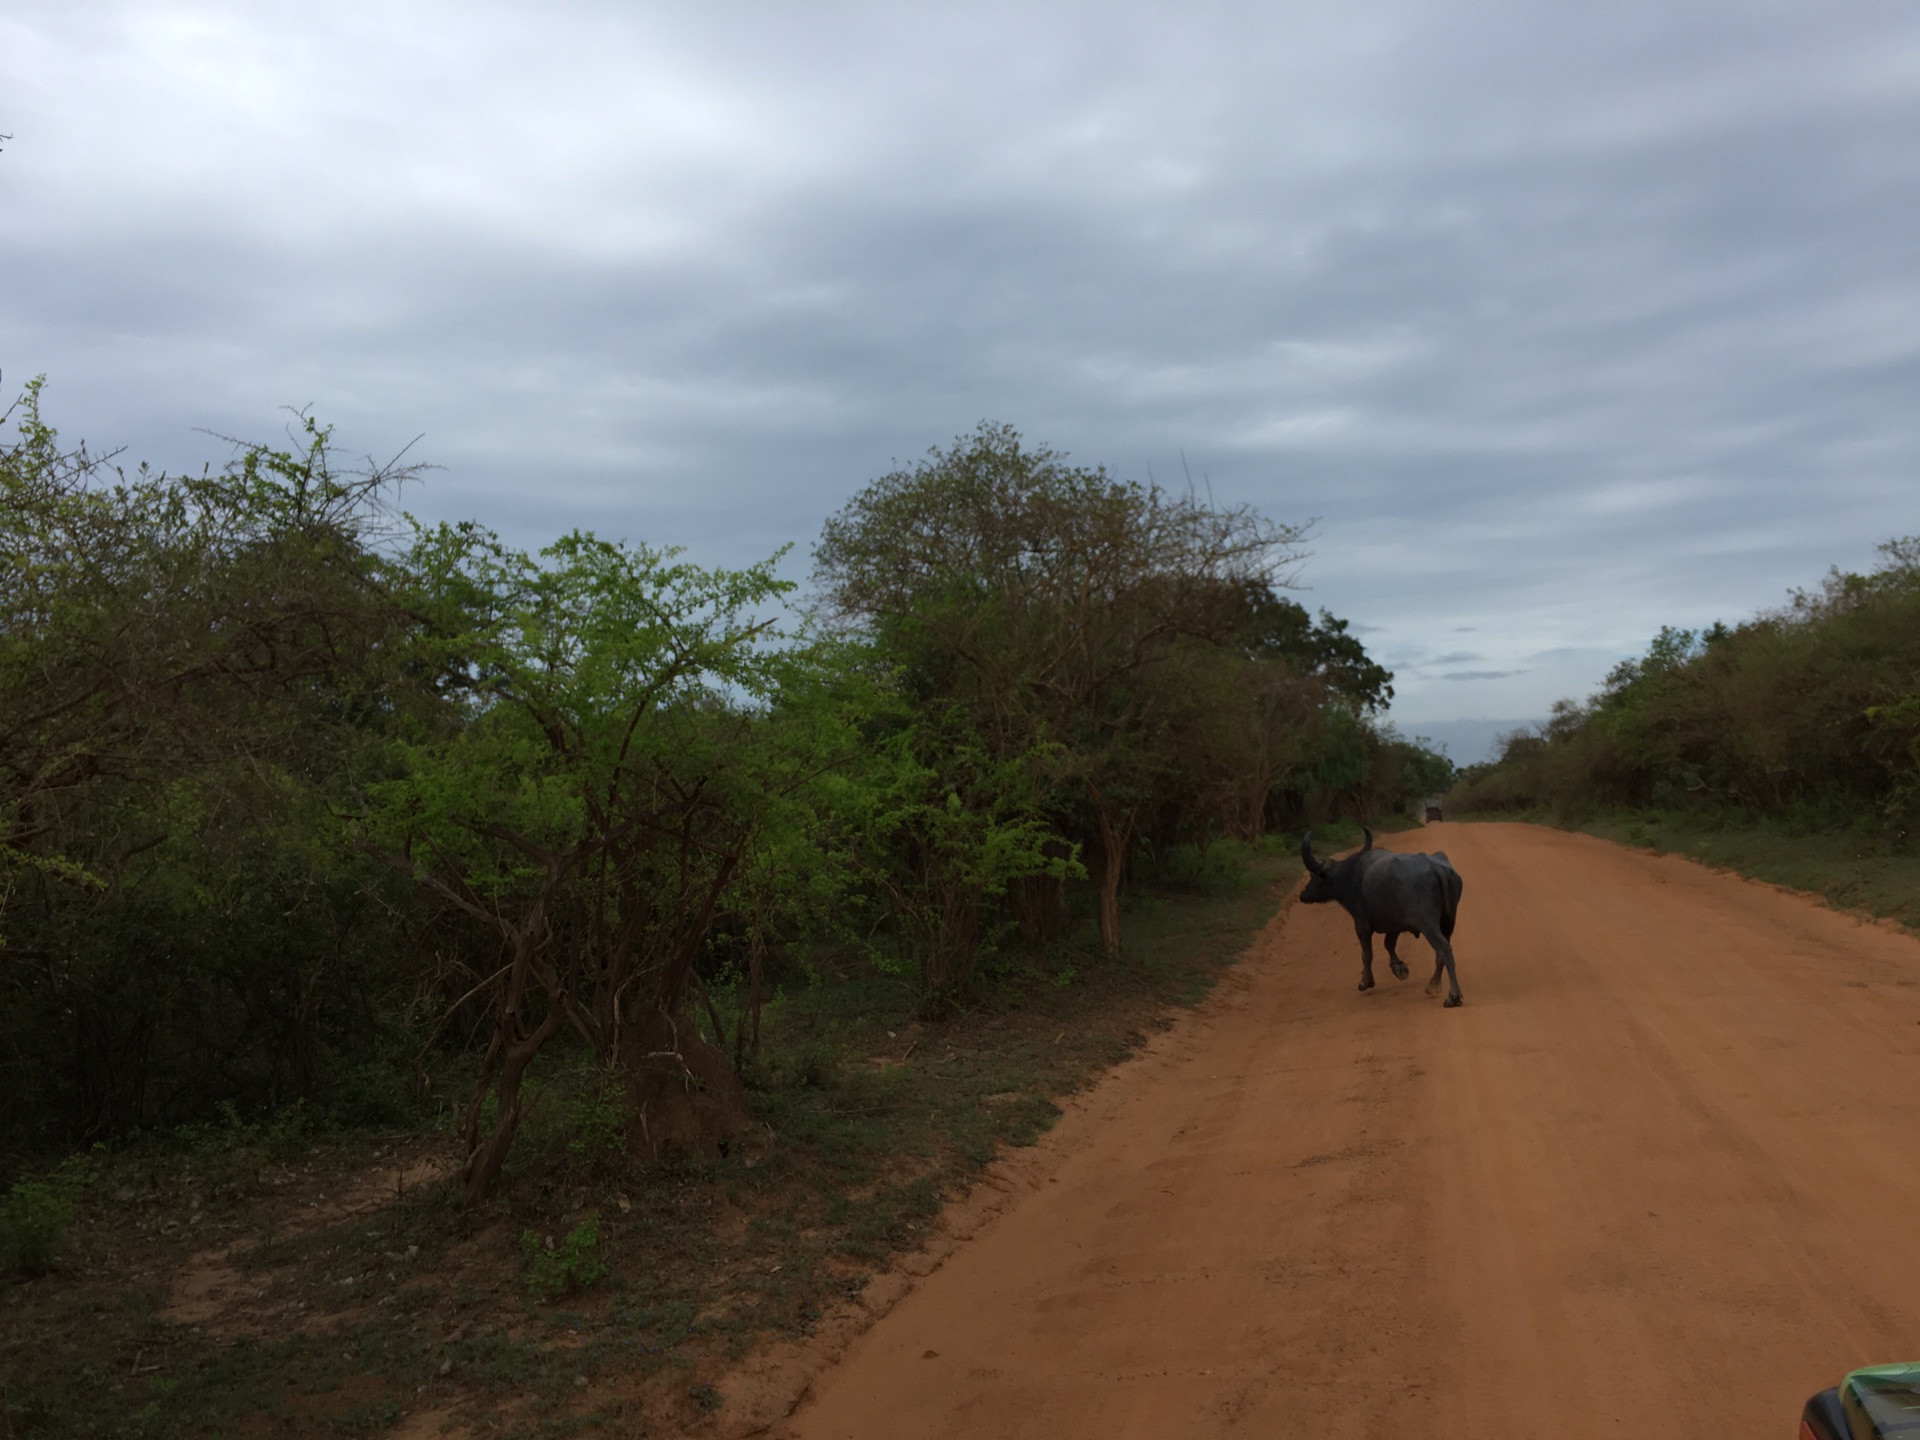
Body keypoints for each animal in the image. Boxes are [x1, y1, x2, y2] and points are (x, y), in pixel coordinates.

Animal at [1297, 829, 1459, 1006]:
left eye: (1314, 876)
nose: (1303, 895)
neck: (1350, 876)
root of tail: (1435, 866)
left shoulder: (1362, 925)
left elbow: (1367, 954)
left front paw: (1365, 981)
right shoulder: (1395, 924)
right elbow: (1389, 944)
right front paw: (1399, 968)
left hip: (1427, 923)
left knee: (1444, 948)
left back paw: (1453, 996)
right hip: (1449, 920)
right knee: (1442, 950)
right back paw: (1433, 985)